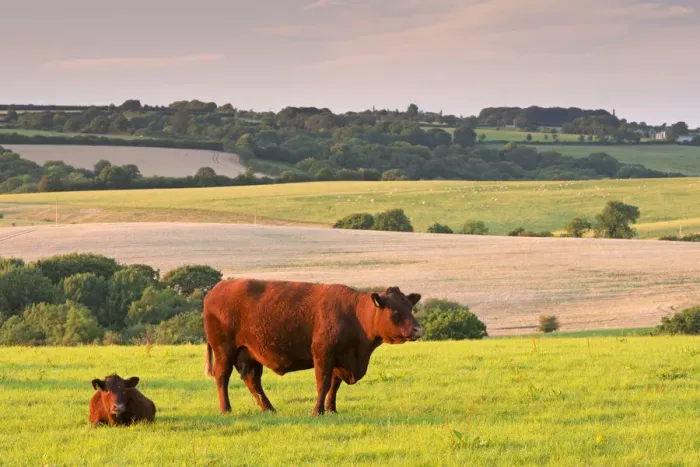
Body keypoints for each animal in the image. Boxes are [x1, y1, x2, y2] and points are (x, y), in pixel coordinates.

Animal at [203, 279, 423, 416]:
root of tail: (215, 290)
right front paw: (318, 411)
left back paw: (269, 409)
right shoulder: (323, 354)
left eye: (410, 308)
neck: (354, 314)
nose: (417, 329)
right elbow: (323, 383)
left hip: (249, 354)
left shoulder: (339, 360)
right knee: (222, 377)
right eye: (395, 310)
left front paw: (332, 409)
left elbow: (334, 385)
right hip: (224, 350)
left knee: (253, 381)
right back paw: (226, 409)